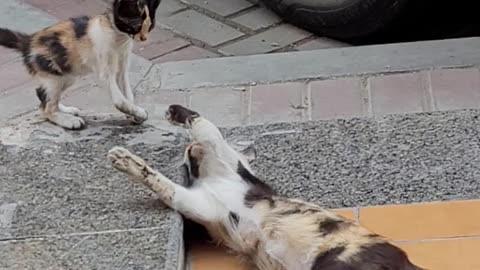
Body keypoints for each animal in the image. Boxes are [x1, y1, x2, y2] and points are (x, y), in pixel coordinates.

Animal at [0, 0, 161, 130]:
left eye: (150, 25)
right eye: (136, 25)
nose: (143, 38)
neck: (119, 38)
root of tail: (27, 41)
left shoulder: (122, 67)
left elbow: (127, 94)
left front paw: (134, 113)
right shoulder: (105, 72)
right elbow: (119, 100)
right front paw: (139, 113)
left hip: (67, 74)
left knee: (41, 94)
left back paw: (66, 110)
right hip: (54, 74)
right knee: (47, 108)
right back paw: (68, 120)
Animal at [108, 105, 424, 270]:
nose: (187, 154)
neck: (212, 180)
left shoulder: (229, 170)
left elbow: (204, 128)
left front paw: (122, 156)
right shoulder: (201, 205)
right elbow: (170, 184)